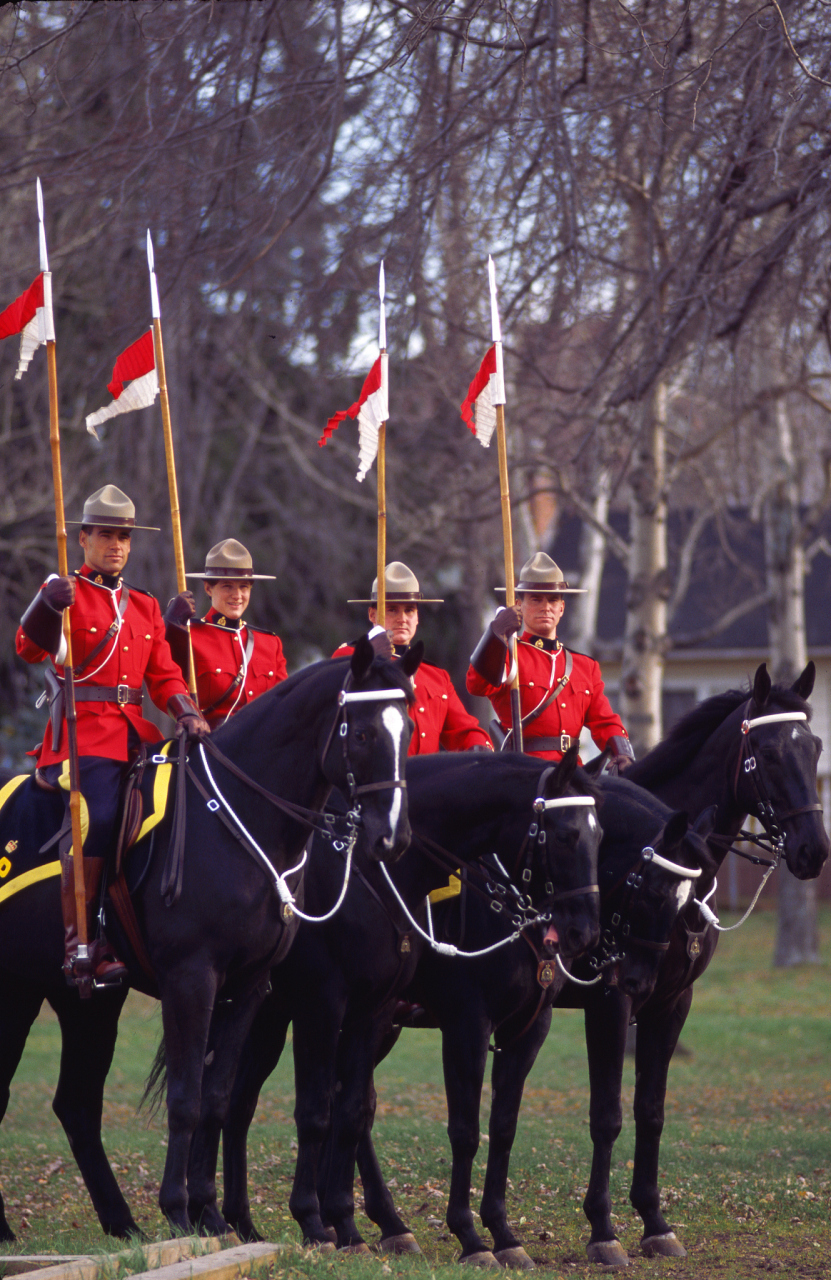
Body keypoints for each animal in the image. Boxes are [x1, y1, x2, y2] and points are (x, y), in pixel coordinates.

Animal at [0, 640, 417, 1239]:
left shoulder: (250, 985)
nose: (393, 838)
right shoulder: (196, 979)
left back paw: (123, 1224)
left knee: (76, 1105)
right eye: (360, 734)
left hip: (83, 1000)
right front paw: (179, 1208)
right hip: (15, 992)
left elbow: (218, 1098)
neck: (240, 820)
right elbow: (187, 1097)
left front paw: (210, 1214)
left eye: (408, 730)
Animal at [207, 747, 601, 1249]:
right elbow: (464, 1130)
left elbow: (503, 1127)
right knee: (239, 1098)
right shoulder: (463, 1023)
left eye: (600, 835)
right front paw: (469, 1234)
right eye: (567, 835)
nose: (582, 933)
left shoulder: (528, 1030)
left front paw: (502, 1231)